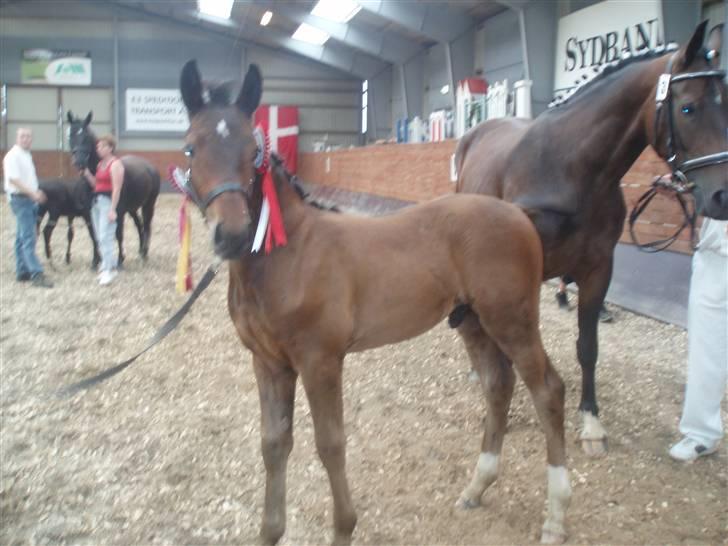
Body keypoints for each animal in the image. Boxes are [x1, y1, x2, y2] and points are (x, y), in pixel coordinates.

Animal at [66, 110, 161, 264]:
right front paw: (96, 260)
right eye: (70, 135)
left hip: (148, 204)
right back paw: (140, 250)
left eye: (86, 136)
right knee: (139, 224)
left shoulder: (118, 210)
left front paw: (120, 259)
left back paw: (145, 253)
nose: (79, 162)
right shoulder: (89, 212)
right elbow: (94, 235)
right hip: (132, 208)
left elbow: (118, 234)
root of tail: (150, 167)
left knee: (147, 225)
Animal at [178, 59, 576, 544]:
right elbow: (274, 444)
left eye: (252, 149)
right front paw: (270, 531)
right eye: (190, 149)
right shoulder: (268, 363)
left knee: (547, 390)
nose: (231, 235)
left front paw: (344, 527)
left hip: (512, 321)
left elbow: (330, 444)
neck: (288, 253)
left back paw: (556, 516)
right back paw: (477, 488)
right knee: (498, 386)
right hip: (473, 322)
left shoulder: (320, 360)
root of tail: (519, 213)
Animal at [456, 22, 724, 454]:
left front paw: (591, 422)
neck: (570, 171)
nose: (722, 196)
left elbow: (587, 346)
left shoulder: (598, 269)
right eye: (688, 108)